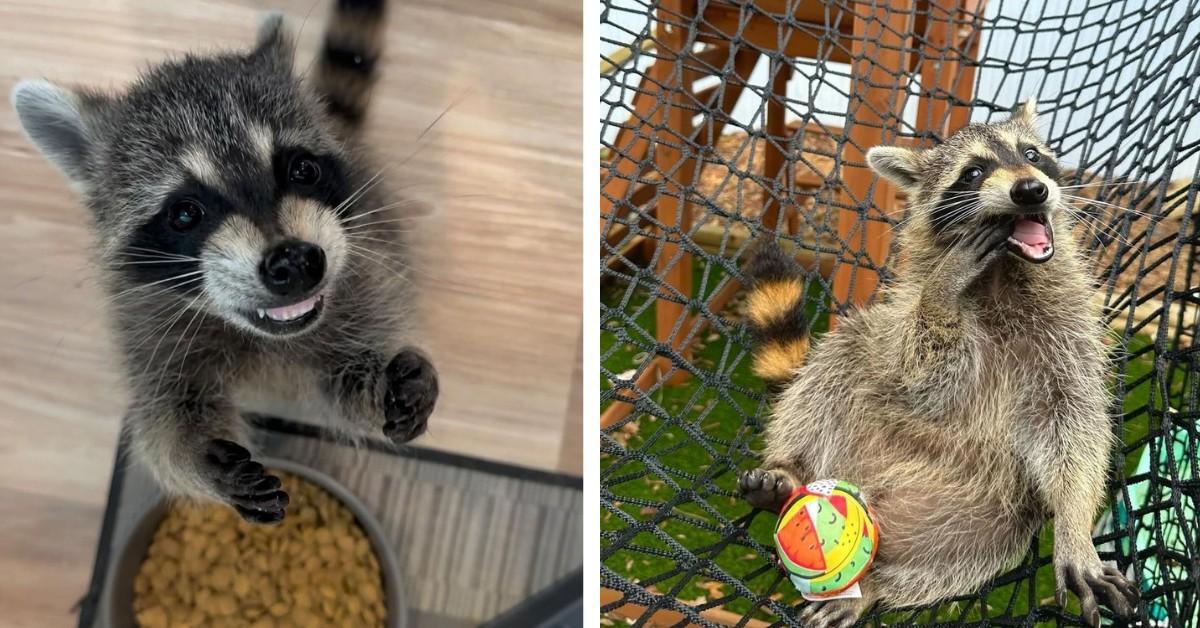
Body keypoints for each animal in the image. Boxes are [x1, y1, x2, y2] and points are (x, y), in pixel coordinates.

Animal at [10, 0, 436, 523]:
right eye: (185, 212)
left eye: (302, 169)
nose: (294, 261)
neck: (263, 337)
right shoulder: (149, 331)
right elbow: (161, 423)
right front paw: (192, 458)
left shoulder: (358, 282)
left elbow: (343, 382)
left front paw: (376, 387)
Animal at [739, 100, 1142, 624]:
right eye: (973, 172)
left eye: (1031, 154)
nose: (1030, 189)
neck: (1006, 270)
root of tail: (867, 492)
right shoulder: (917, 331)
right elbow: (923, 374)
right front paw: (941, 292)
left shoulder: (1068, 334)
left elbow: (1073, 426)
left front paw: (1074, 527)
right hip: (852, 380)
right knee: (842, 357)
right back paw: (788, 470)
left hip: (985, 517)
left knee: (961, 553)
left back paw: (873, 587)